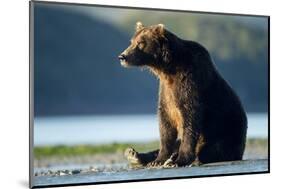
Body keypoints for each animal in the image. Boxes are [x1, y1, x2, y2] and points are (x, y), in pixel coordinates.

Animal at [117, 22, 246, 167]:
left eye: (141, 43)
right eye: (132, 41)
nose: (122, 56)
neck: (167, 69)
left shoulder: (189, 81)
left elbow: (189, 117)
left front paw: (179, 160)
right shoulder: (166, 91)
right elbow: (165, 123)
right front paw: (158, 160)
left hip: (226, 132)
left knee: (213, 149)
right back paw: (134, 155)